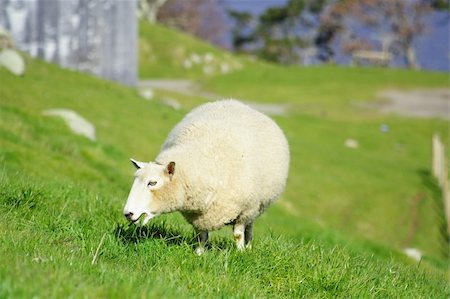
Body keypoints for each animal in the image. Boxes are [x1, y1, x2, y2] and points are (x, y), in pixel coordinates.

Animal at [123, 99, 290, 254]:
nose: (127, 213)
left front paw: (240, 253)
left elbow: (238, 234)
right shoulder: (199, 216)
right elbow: (201, 236)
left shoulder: (244, 209)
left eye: (152, 183)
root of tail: (236, 102)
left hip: (255, 206)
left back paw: (248, 247)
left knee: (249, 227)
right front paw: (199, 254)